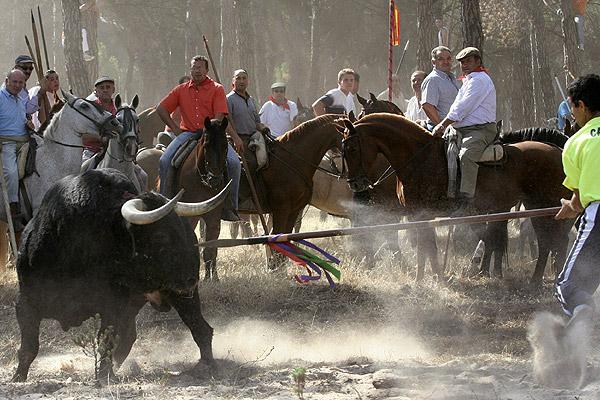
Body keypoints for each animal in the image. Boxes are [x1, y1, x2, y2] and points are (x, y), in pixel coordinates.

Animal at [11, 169, 221, 382]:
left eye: (182, 229)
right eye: (160, 236)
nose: (191, 279)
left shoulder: (112, 306)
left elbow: (106, 341)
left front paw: (104, 376)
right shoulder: (25, 303)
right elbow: (29, 347)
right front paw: (18, 377)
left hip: (181, 297)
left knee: (200, 329)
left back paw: (206, 365)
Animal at [342, 111, 572, 282]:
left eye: (352, 148)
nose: (355, 184)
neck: (419, 157)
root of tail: (558, 151)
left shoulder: (422, 214)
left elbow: (426, 248)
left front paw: (424, 279)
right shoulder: (420, 215)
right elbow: (429, 247)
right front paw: (433, 277)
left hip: (545, 206)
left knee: (554, 241)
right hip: (536, 207)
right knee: (547, 241)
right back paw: (536, 281)